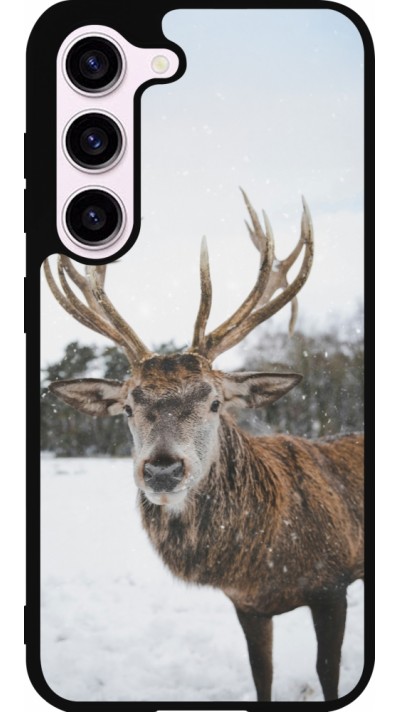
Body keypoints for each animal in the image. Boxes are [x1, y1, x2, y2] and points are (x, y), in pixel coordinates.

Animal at [44, 191, 364, 702]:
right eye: (128, 406)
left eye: (214, 402)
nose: (162, 470)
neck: (264, 559)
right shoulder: (247, 604)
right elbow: (262, 675)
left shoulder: (333, 583)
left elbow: (327, 672)